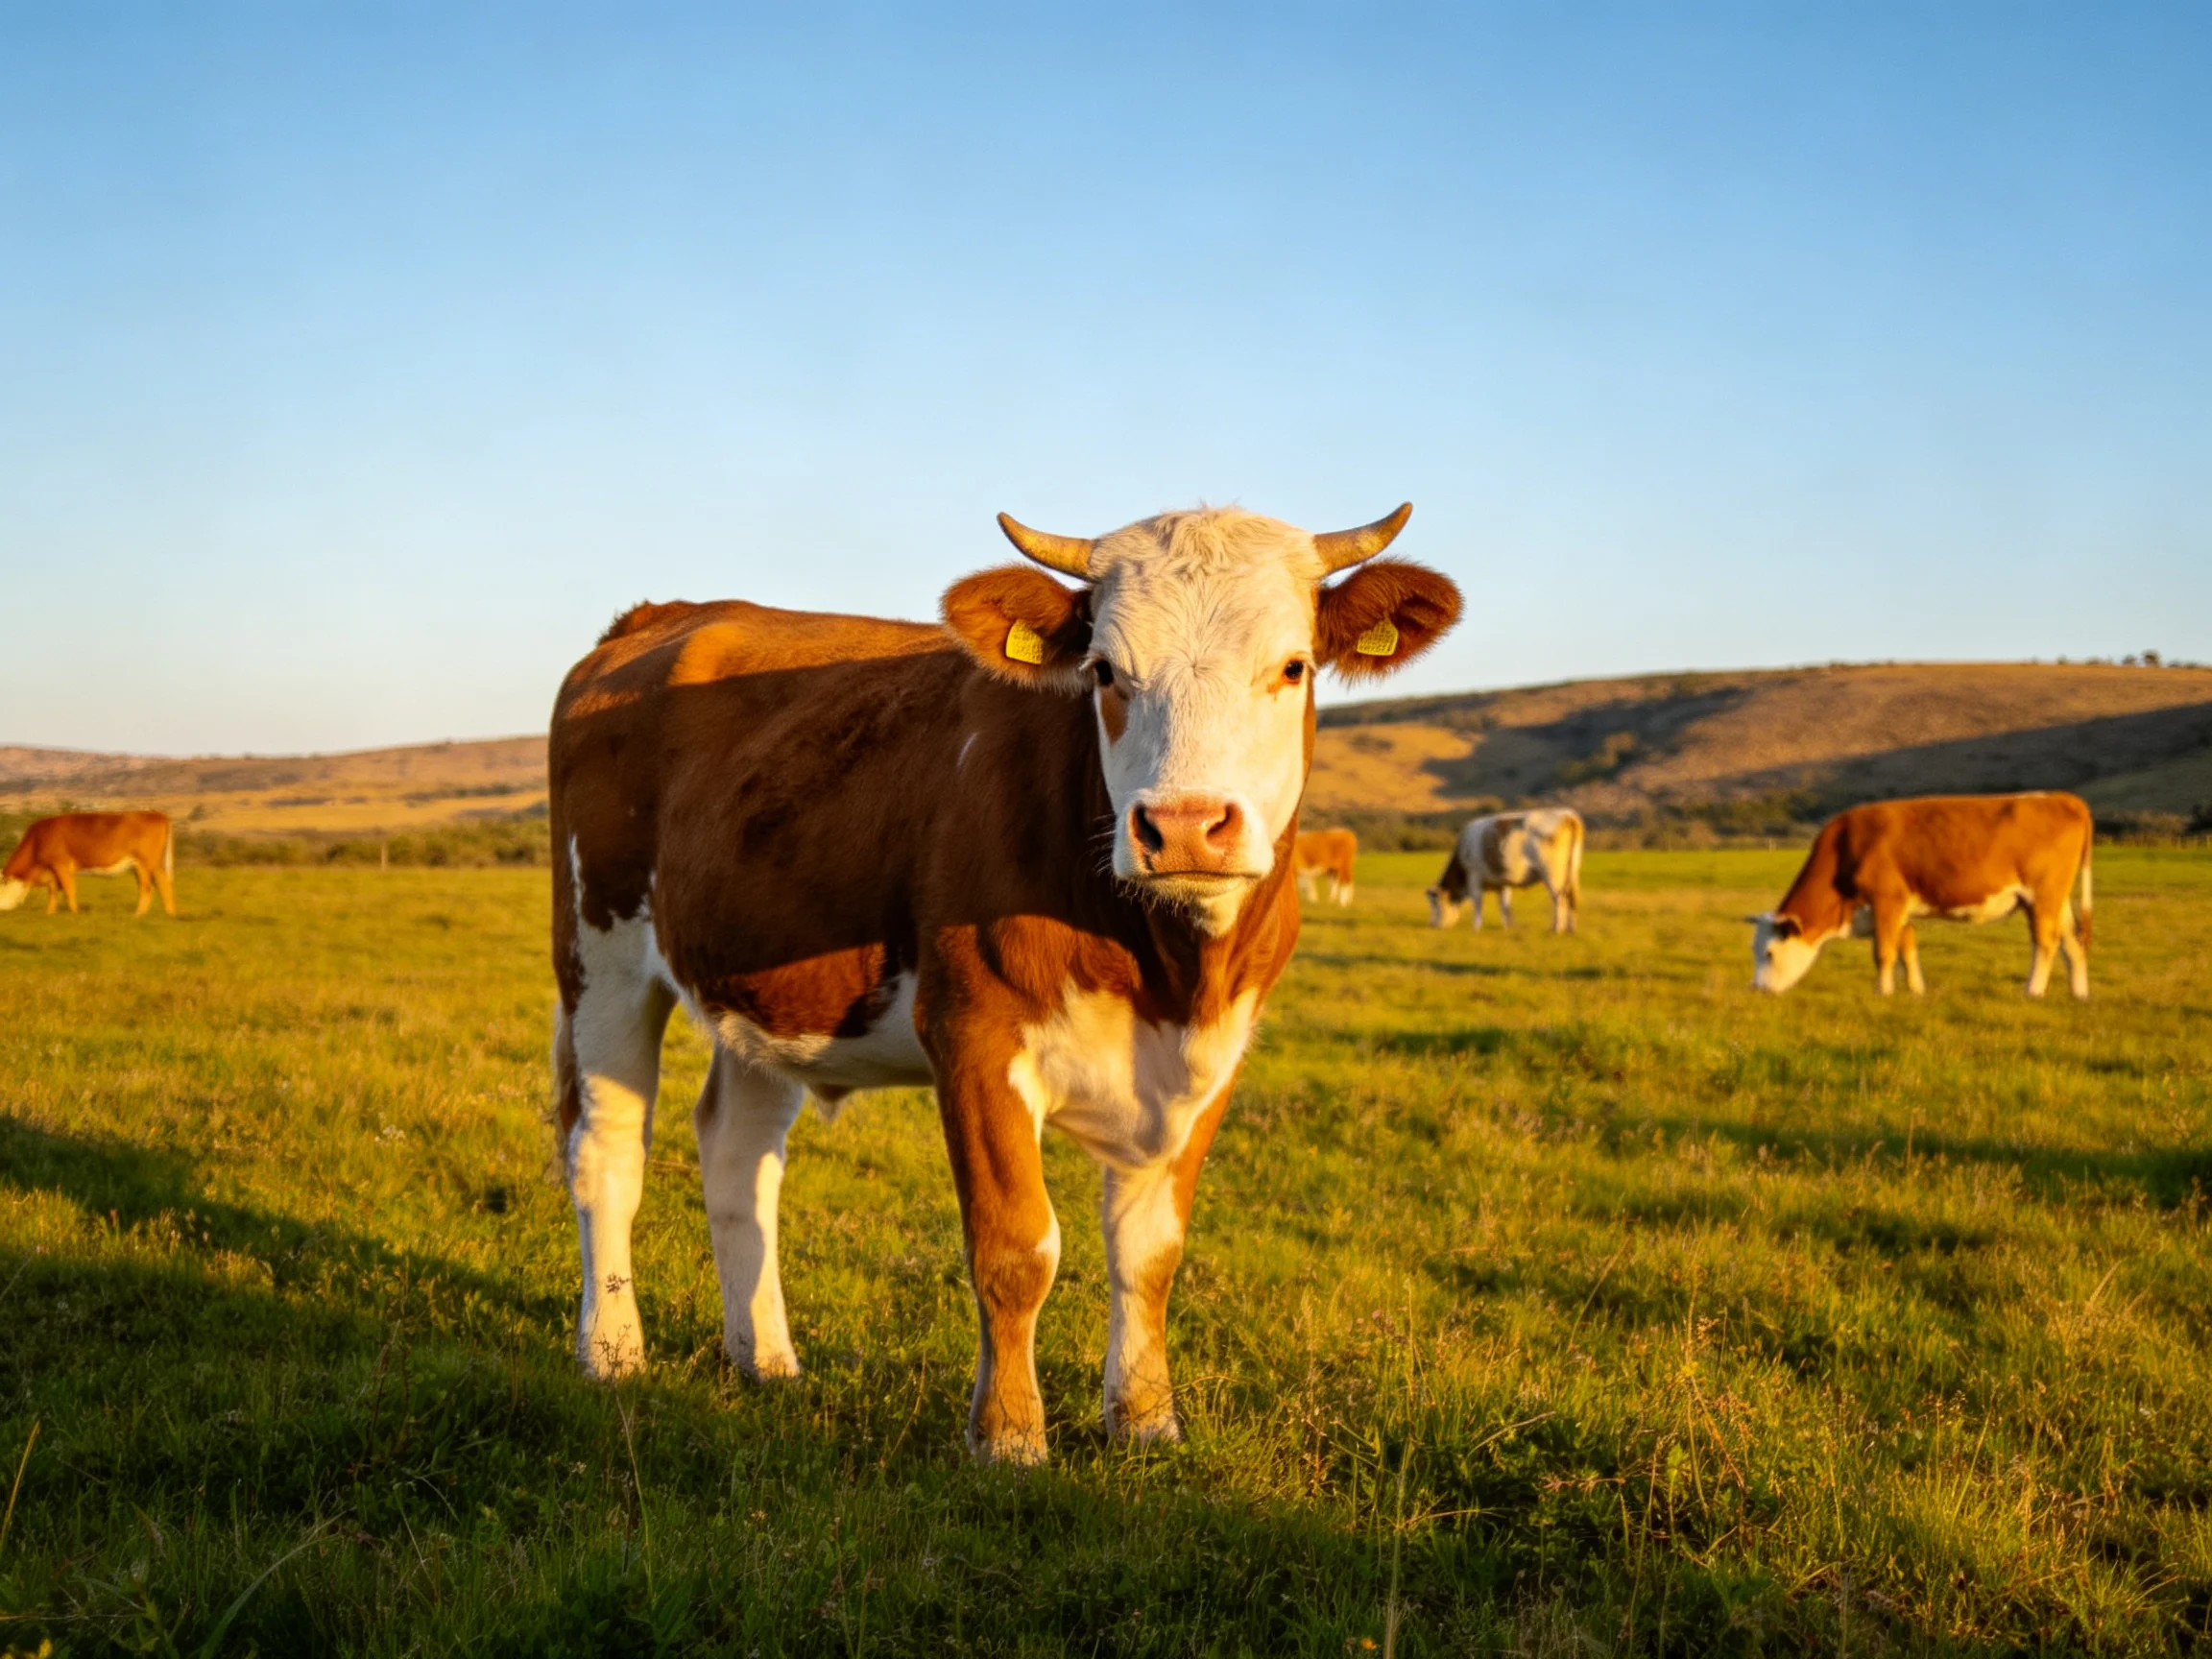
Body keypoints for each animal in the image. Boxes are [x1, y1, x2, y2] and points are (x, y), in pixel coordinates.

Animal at [0, 811, 176, 917]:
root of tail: (157, 814)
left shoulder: (60, 864)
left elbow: (69, 890)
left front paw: (74, 913)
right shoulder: (53, 870)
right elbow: (53, 892)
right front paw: (50, 913)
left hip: (146, 863)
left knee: (151, 886)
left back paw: (141, 914)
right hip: (145, 865)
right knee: (156, 885)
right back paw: (168, 912)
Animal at [549, 503, 1461, 1462]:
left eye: (1292, 666)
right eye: (1105, 669)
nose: (1183, 826)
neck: (1169, 968)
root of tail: (663, 616)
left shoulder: (1214, 1056)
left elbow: (1150, 1252)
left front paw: (1146, 1420)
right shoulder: (974, 1035)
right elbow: (1016, 1247)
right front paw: (1010, 1436)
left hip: (762, 984)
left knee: (738, 1151)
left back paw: (763, 1357)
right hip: (600, 954)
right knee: (606, 1147)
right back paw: (613, 1351)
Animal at [1427, 808, 1584, 933]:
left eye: (1435, 904)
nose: (1432, 925)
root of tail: (1567, 815)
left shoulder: (1474, 875)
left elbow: (1477, 902)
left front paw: (1476, 927)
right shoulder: (1502, 882)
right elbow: (1504, 906)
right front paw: (1508, 927)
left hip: (1552, 873)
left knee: (1559, 899)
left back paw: (1556, 929)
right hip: (1571, 873)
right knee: (1571, 898)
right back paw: (1570, 929)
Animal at [1747, 792, 2093, 998]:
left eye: (1769, 953)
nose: (1757, 989)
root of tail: (2062, 798)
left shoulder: (1887, 899)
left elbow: (1884, 952)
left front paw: (1883, 992)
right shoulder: (1900, 907)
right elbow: (1907, 948)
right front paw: (1916, 990)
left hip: (2043, 895)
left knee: (2046, 941)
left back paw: (2033, 990)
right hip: (2057, 898)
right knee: (2072, 943)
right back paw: (2079, 993)